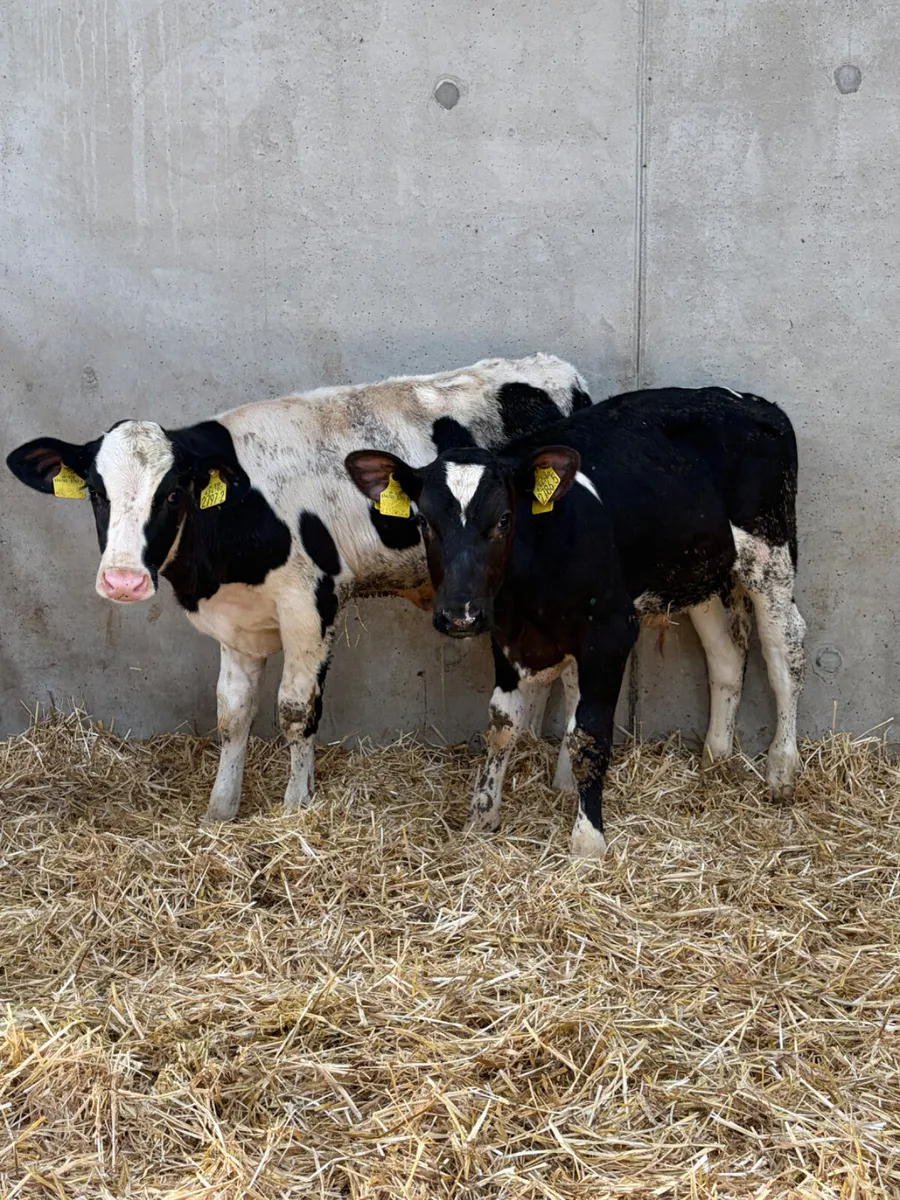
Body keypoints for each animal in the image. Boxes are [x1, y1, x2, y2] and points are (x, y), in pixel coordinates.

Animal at [6, 354, 593, 821]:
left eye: (173, 493)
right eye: (95, 492)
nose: (122, 580)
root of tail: (556, 368)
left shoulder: (311, 606)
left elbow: (294, 711)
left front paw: (294, 807)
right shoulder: (235, 623)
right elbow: (231, 715)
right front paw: (221, 810)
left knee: (571, 677)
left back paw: (564, 782)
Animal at [345, 386, 806, 857]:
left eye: (504, 519)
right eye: (423, 522)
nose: (460, 614)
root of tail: (748, 399)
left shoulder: (611, 632)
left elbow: (588, 733)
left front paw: (588, 841)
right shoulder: (505, 635)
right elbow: (503, 723)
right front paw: (482, 816)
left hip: (771, 552)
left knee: (785, 652)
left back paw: (781, 771)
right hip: (699, 571)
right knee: (726, 657)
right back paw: (715, 758)